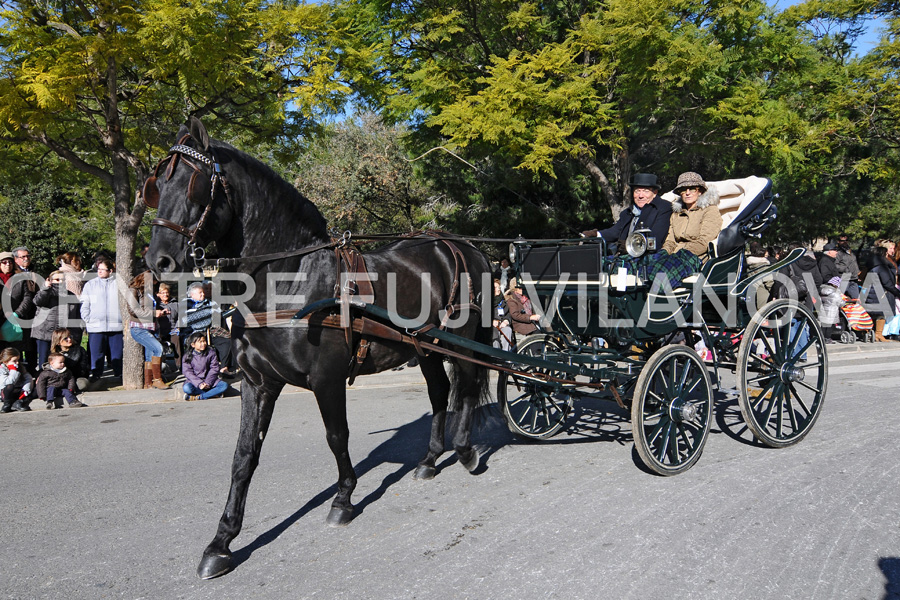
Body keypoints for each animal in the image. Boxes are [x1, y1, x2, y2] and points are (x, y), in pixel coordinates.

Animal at [146, 116, 492, 576]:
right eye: (156, 187)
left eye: (194, 185)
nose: (158, 260)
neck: (290, 279)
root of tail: (459, 244)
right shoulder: (257, 383)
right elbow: (243, 456)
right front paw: (222, 541)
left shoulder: (326, 377)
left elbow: (336, 436)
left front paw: (344, 498)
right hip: (426, 348)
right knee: (440, 393)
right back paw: (430, 459)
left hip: (463, 339)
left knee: (466, 388)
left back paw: (466, 451)